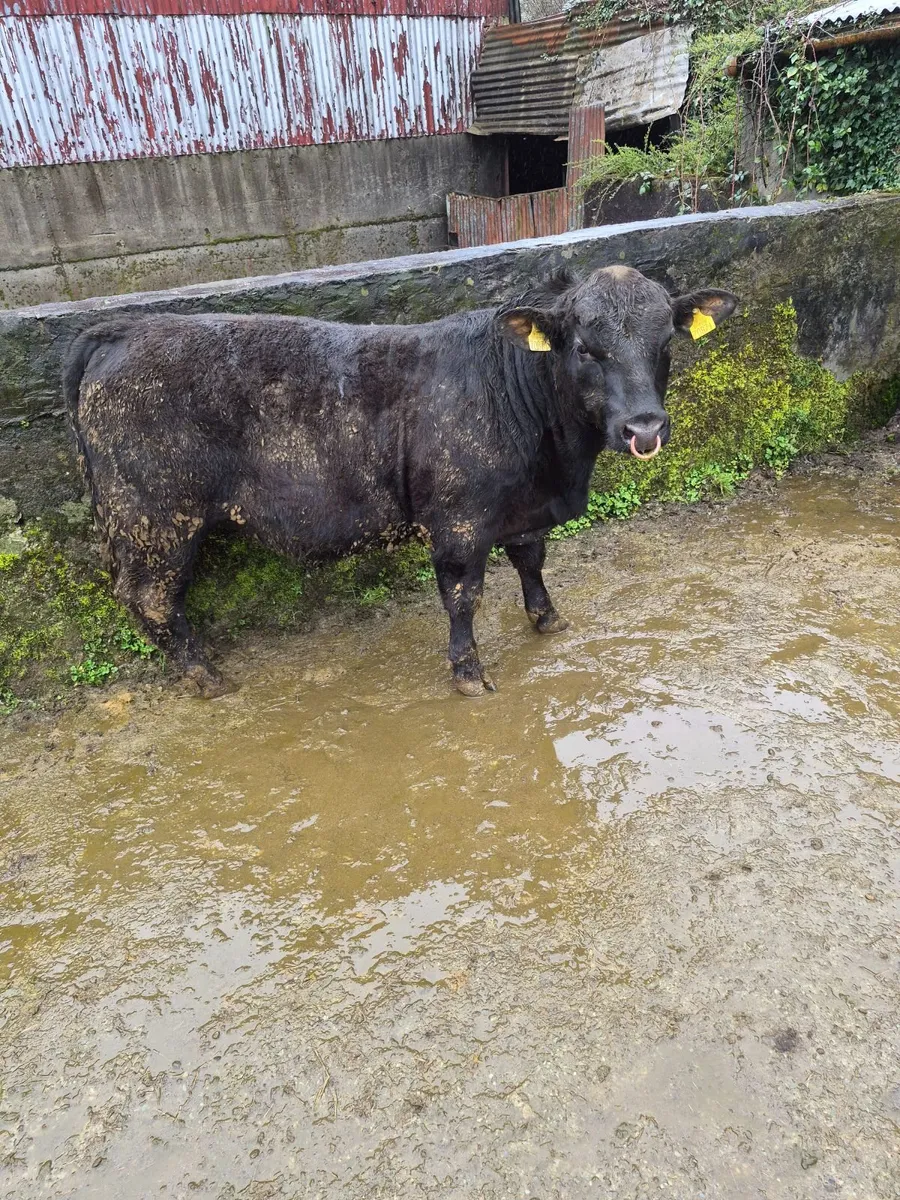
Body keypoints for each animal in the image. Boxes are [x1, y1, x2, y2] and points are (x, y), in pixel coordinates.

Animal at [63, 266, 737, 696]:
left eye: (665, 340)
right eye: (585, 348)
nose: (644, 427)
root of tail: (126, 329)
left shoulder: (523, 507)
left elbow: (531, 559)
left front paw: (547, 619)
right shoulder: (459, 519)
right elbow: (464, 595)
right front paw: (468, 673)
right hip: (153, 516)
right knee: (150, 596)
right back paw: (205, 677)